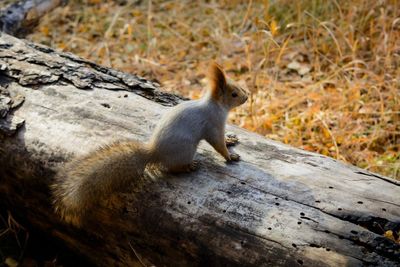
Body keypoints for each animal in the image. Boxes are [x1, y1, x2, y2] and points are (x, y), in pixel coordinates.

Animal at [51, 62, 248, 226]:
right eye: (234, 94)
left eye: (238, 87)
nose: (247, 97)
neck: (216, 106)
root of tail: (155, 151)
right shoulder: (213, 125)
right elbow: (218, 144)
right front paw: (230, 156)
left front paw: (230, 139)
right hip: (186, 149)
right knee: (171, 168)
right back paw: (189, 167)